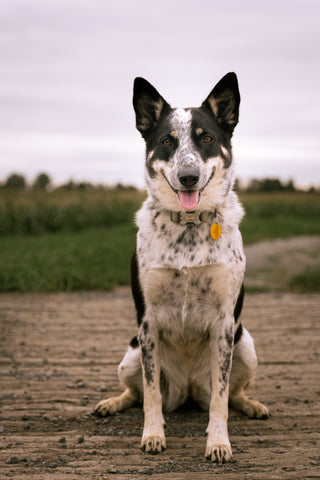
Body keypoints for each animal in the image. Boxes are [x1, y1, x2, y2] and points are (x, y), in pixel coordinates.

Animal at [95, 73, 270, 464]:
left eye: (206, 139)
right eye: (166, 142)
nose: (188, 176)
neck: (188, 228)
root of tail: (188, 391)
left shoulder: (224, 323)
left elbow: (221, 396)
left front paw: (218, 442)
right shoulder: (147, 324)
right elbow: (150, 394)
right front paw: (153, 434)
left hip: (246, 346)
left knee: (234, 393)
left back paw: (252, 405)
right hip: (130, 354)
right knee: (136, 393)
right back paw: (111, 403)